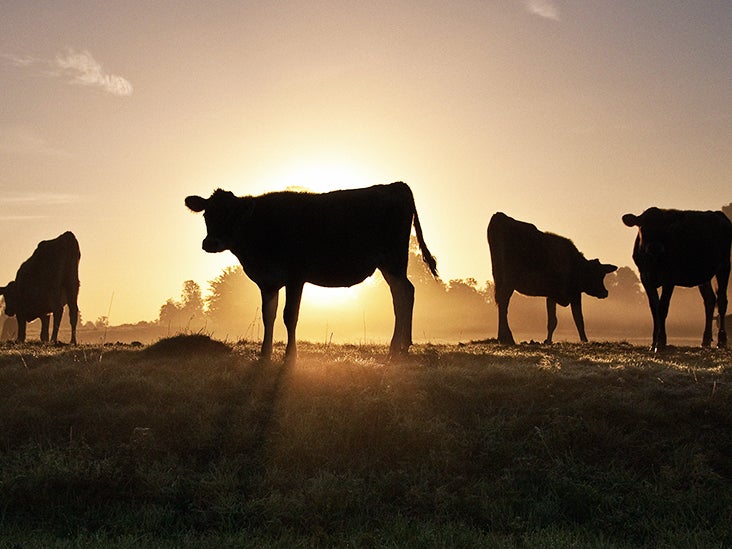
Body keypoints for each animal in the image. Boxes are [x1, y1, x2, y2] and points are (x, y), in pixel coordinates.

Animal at [186, 182, 438, 362]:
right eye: (207, 215)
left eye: (232, 216)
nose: (210, 243)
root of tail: (396, 185)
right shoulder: (268, 281)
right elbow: (268, 316)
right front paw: (264, 354)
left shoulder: (296, 276)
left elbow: (290, 315)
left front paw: (291, 356)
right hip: (388, 265)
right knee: (404, 293)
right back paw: (402, 346)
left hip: (394, 260)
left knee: (403, 295)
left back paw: (396, 348)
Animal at [488, 212, 616, 344]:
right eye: (597, 274)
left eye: (603, 274)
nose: (605, 292)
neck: (576, 265)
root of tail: (500, 215)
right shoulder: (575, 294)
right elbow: (579, 319)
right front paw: (584, 340)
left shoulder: (552, 295)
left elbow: (552, 321)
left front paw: (548, 340)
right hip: (510, 279)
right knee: (504, 302)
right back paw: (507, 337)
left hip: (498, 276)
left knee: (501, 303)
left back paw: (502, 337)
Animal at [620, 208, 728, 348]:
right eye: (643, 227)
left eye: (665, 229)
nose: (655, 246)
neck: (654, 260)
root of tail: (718, 214)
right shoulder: (645, 277)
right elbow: (654, 308)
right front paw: (654, 341)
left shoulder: (669, 277)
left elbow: (662, 307)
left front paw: (661, 341)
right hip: (704, 276)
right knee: (709, 300)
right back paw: (705, 340)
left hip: (724, 265)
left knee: (722, 301)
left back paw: (722, 340)